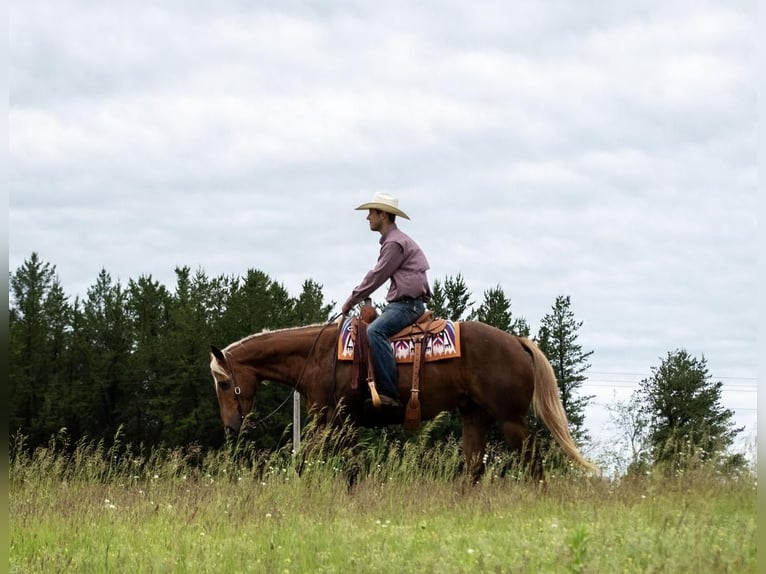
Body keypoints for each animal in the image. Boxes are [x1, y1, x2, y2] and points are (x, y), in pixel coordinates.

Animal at [210, 318, 600, 480]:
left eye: (224, 384)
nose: (230, 427)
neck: (318, 355)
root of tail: (516, 341)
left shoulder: (331, 421)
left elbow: (304, 460)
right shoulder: (344, 425)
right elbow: (350, 467)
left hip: (511, 419)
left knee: (533, 463)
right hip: (474, 416)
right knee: (474, 468)